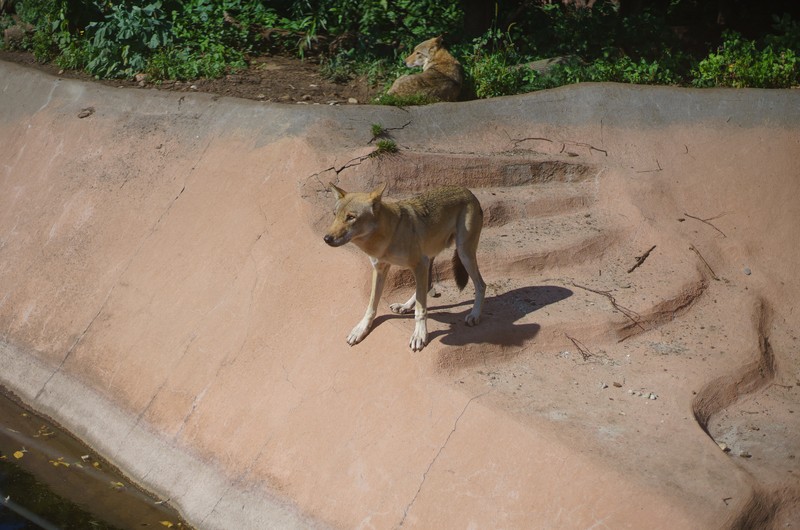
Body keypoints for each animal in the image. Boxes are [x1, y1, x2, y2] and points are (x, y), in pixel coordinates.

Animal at [322, 183, 484, 350]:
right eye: (335, 215)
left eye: (351, 217)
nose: (327, 238)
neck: (389, 235)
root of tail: (468, 191)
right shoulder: (380, 269)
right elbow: (371, 306)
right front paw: (361, 329)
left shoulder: (419, 265)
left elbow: (420, 310)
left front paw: (420, 335)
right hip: (431, 257)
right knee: (427, 286)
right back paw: (405, 306)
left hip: (463, 254)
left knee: (481, 285)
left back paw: (475, 315)